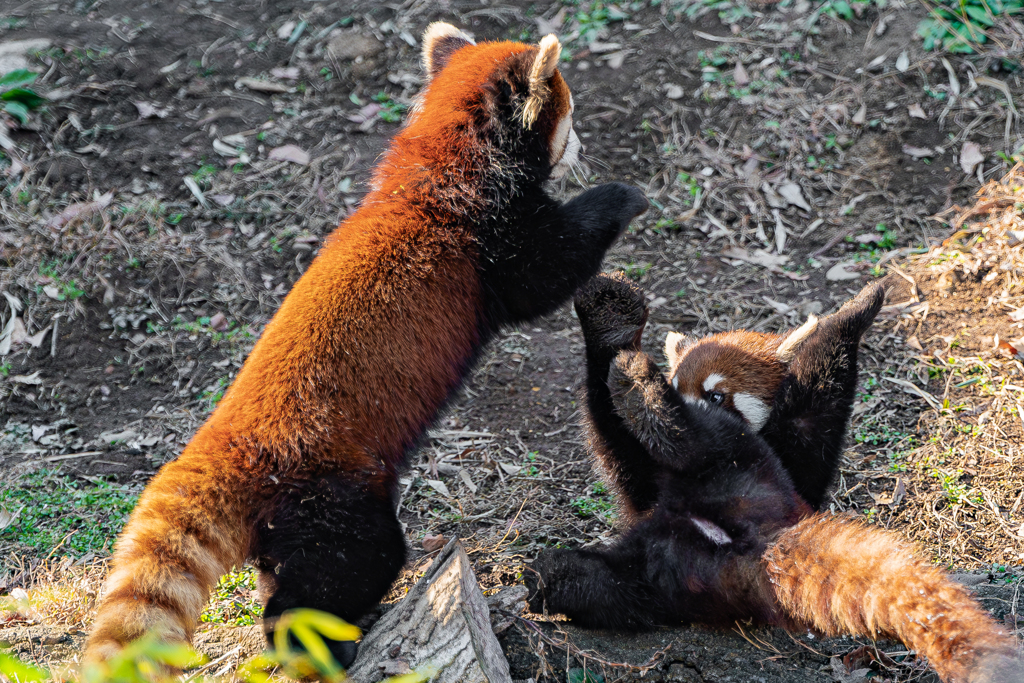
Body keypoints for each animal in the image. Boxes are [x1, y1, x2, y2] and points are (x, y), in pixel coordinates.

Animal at [86, 25, 647, 667]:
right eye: (570, 118)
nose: (581, 148)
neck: (449, 163)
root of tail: (223, 447)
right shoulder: (493, 242)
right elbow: (549, 271)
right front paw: (623, 195)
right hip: (334, 501)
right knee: (345, 570)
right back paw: (320, 643)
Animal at [532, 274, 1019, 683]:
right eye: (677, 383)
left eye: (716, 395)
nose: (679, 399)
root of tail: (759, 541)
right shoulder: (646, 488)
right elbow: (625, 459)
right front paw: (611, 329)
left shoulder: (797, 465)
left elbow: (816, 402)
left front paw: (852, 314)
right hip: (664, 579)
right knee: (601, 581)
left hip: (747, 473)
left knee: (699, 443)